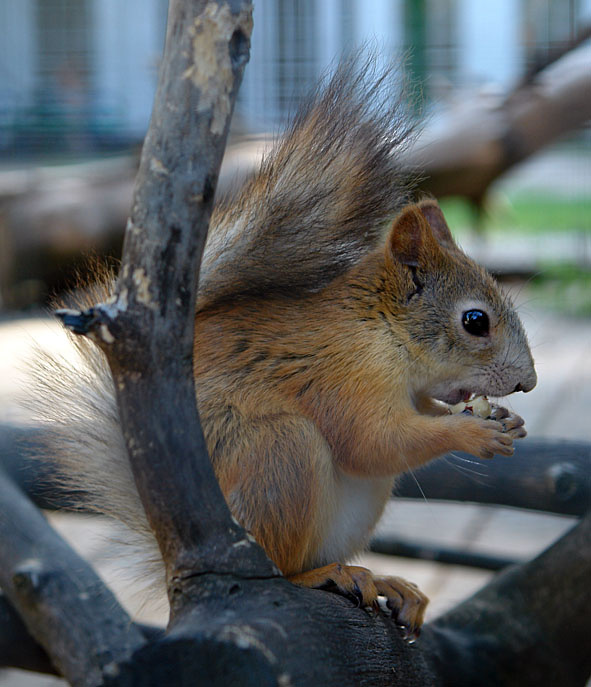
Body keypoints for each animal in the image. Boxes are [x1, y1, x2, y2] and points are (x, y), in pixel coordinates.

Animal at [28, 58, 536, 636]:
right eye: (475, 322)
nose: (528, 382)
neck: (380, 330)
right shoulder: (344, 371)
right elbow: (372, 441)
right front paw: (472, 432)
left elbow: (410, 422)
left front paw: (505, 420)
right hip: (279, 453)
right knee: (285, 562)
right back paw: (320, 576)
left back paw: (383, 580)